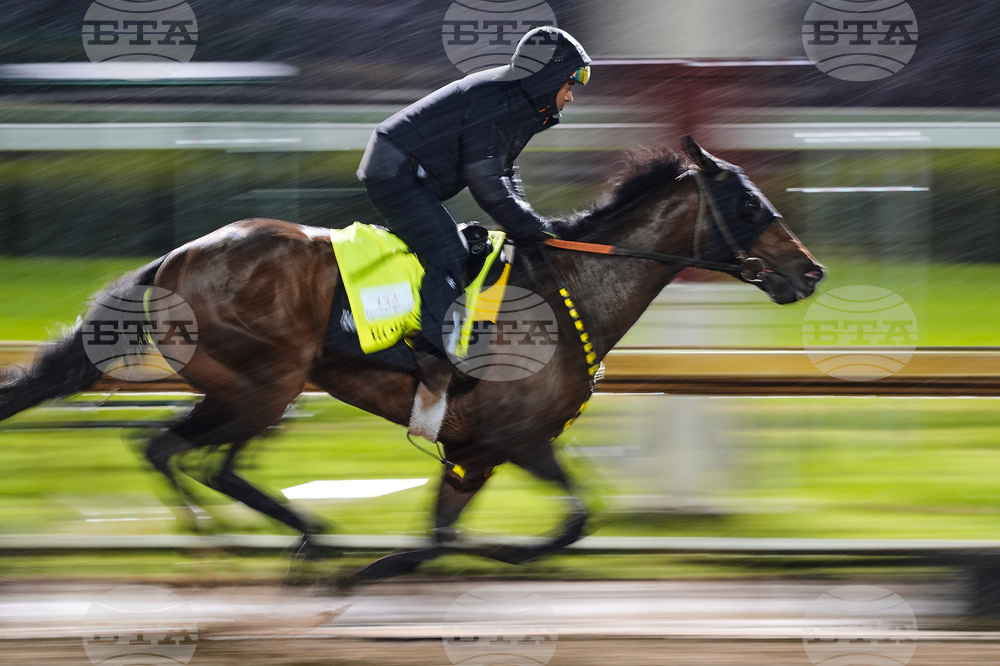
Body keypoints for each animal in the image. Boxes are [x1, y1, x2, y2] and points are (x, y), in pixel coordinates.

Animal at [0, 137, 824, 582]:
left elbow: (546, 522)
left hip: (257, 389)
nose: (810, 272)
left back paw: (285, 539)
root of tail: (174, 258)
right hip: (265, 384)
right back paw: (261, 541)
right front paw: (416, 563)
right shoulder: (503, 441)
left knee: (186, 453)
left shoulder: (484, 447)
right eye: (750, 206)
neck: (569, 290)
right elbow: (514, 529)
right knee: (182, 451)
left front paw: (471, 555)